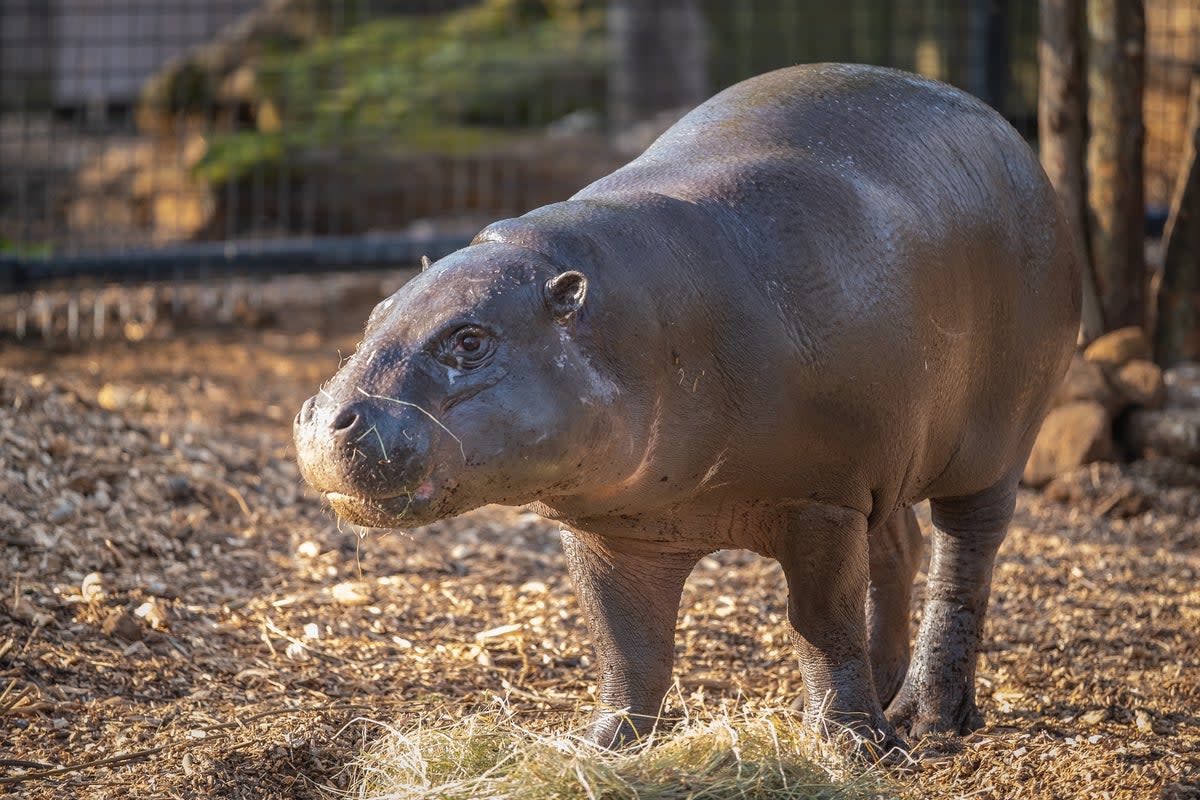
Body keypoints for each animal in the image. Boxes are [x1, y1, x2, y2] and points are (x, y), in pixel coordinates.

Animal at [295, 64, 1084, 758]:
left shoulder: (818, 501)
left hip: (992, 447)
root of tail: (1005, 130)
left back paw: (931, 720)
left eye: (469, 339)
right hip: (886, 461)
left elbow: (823, 626)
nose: (330, 415)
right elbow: (627, 649)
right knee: (900, 549)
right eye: (374, 315)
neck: (636, 321)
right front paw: (602, 747)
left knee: (964, 561)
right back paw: (892, 698)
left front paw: (854, 749)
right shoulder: (613, 525)